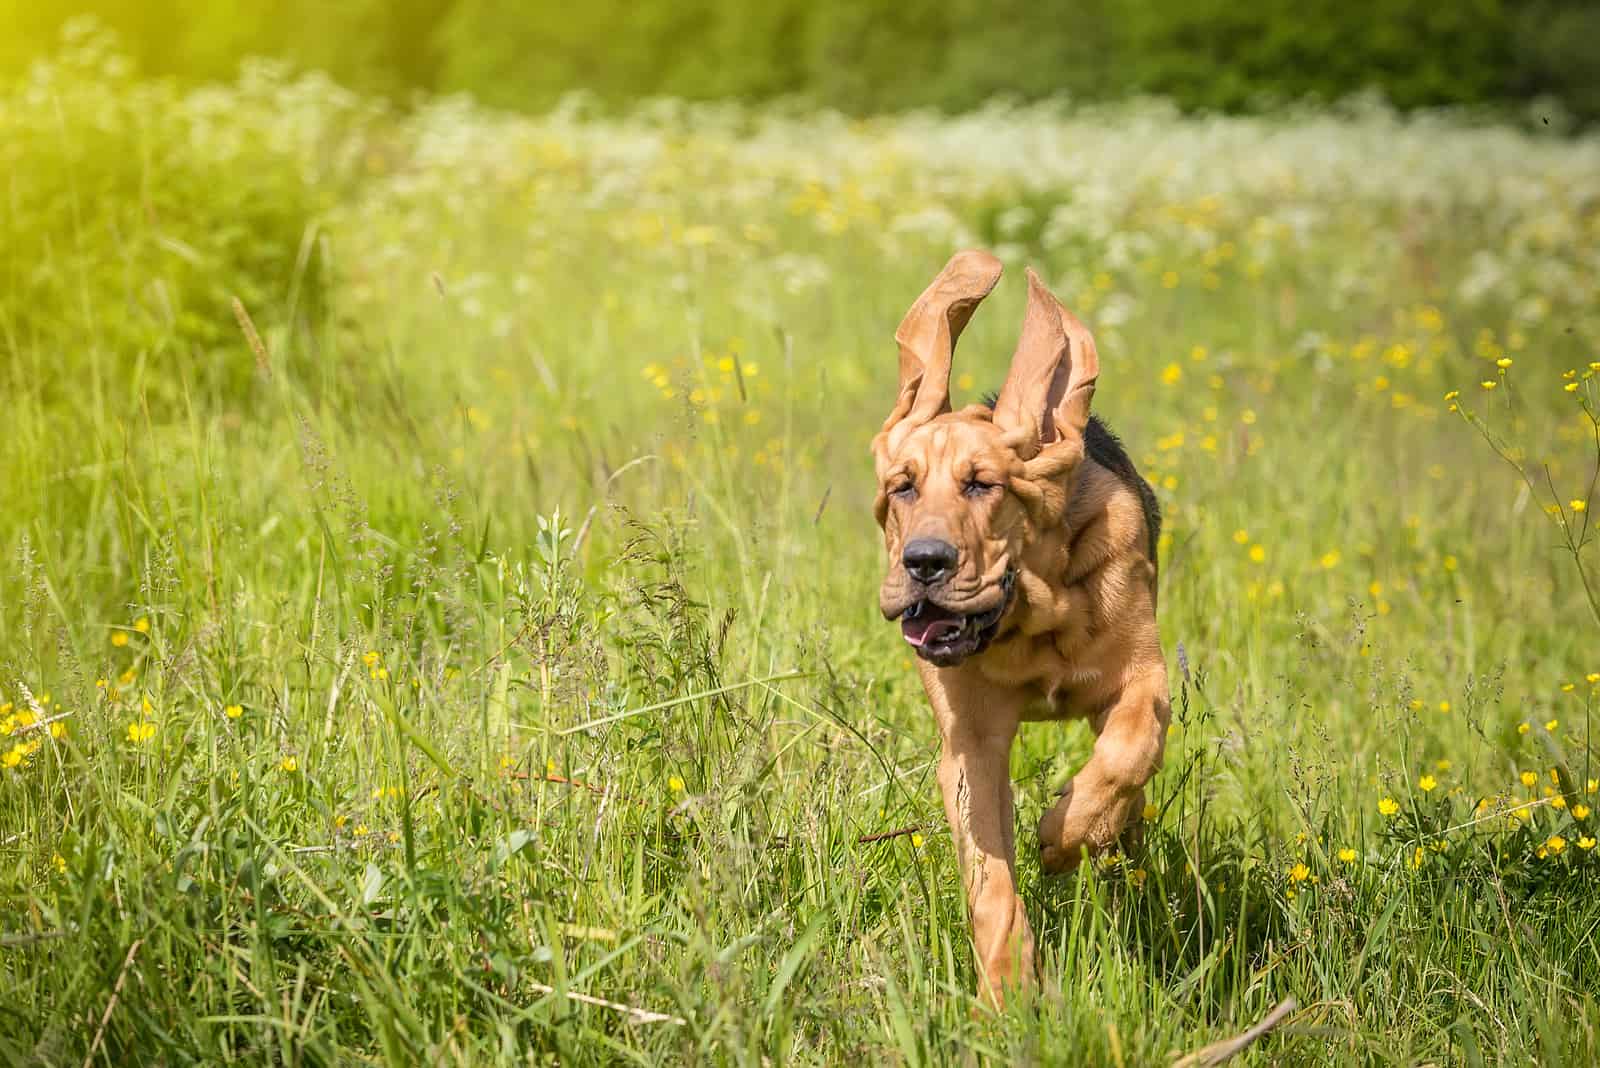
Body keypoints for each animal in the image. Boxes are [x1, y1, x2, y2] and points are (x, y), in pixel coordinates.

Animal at [876, 254, 1164, 1004]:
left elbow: (1126, 754)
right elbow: (991, 881)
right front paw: (1008, 995)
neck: (1031, 621)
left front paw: (1063, 834)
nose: (924, 563)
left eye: (984, 485)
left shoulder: (1144, 677)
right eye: (902, 487)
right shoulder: (970, 746)